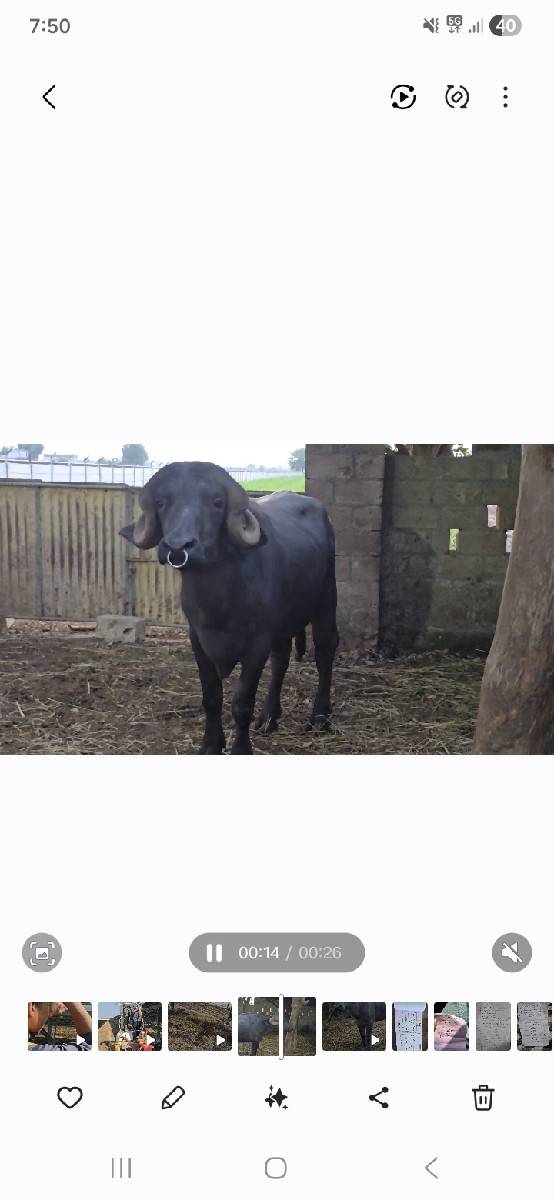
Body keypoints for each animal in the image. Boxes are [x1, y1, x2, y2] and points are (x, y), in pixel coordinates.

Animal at [120, 462, 339, 755]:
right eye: (161, 502)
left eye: (217, 502)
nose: (177, 547)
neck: (218, 599)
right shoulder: (198, 640)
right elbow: (212, 697)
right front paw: (210, 745)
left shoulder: (256, 643)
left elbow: (241, 703)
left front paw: (240, 748)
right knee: (281, 659)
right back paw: (268, 717)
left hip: (326, 599)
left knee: (325, 652)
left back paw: (319, 718)